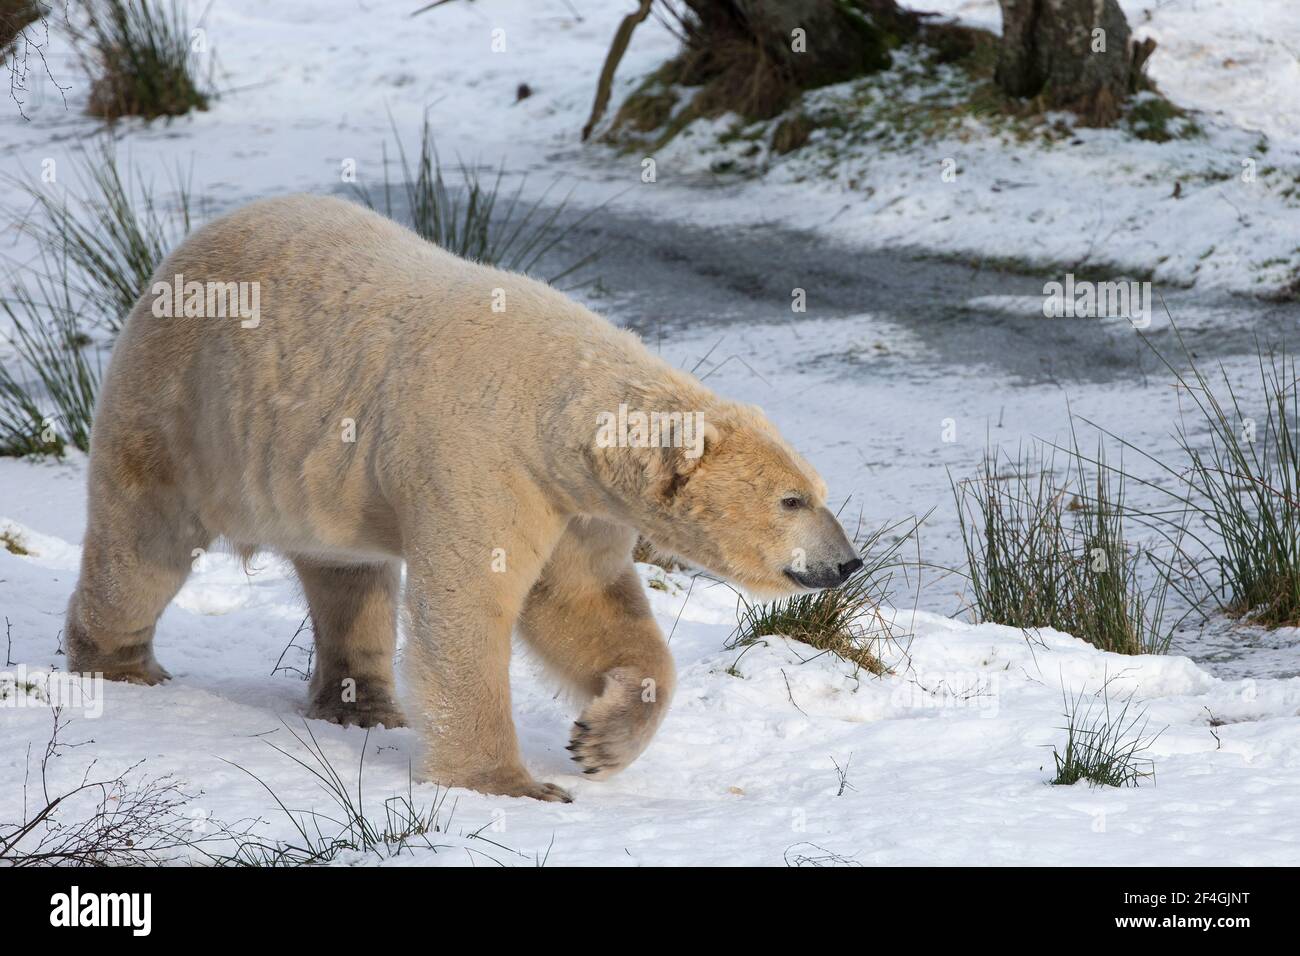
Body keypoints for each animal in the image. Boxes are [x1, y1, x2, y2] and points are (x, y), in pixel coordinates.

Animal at [68, 195, 863, 801]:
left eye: (819, 491)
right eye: (793, 501)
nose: (847, 562)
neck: (558, 408)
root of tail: (184, 247)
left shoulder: (573, 504)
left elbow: (583, 603)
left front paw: (598, 741)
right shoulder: (485, 457)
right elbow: (468, 607)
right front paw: (514, 784)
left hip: (319, 474)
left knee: (348, 576)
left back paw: (364, 707)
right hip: (182, 401)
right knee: (144, 541)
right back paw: (120, 664)